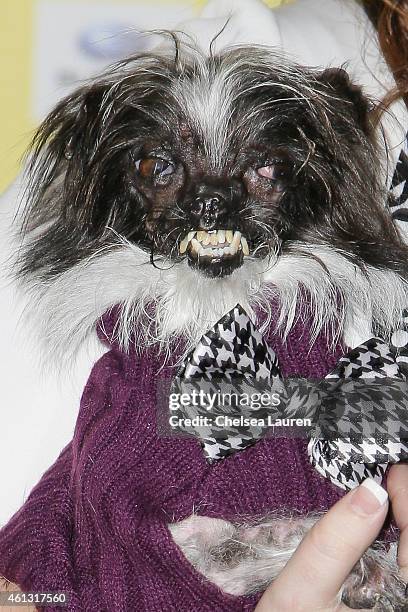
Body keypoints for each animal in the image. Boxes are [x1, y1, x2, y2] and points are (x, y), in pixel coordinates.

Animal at [14, 35, 408, 608]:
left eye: (268, 167)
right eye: (154, 165)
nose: (212, 200)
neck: (215, 312)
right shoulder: (123, 523)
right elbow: (210, 551)